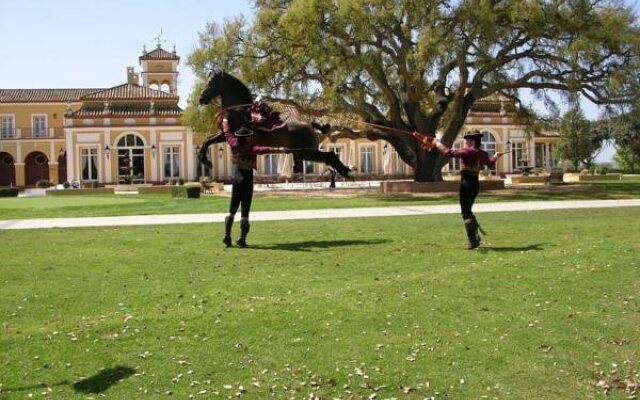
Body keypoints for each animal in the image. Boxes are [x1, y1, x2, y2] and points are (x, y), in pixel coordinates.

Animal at [198, 69, 352, 178]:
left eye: (210, 83)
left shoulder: (230, 135)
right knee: (329, 157)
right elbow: (207, 140)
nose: (201, 98)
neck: (237, 109)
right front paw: (204, 159)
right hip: (303, 152)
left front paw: (205, 159)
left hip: (307, 152)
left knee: (330, 156)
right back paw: (346, 171)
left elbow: (208, 141)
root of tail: (310, 125)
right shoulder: (223, 134)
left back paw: (347, 172)